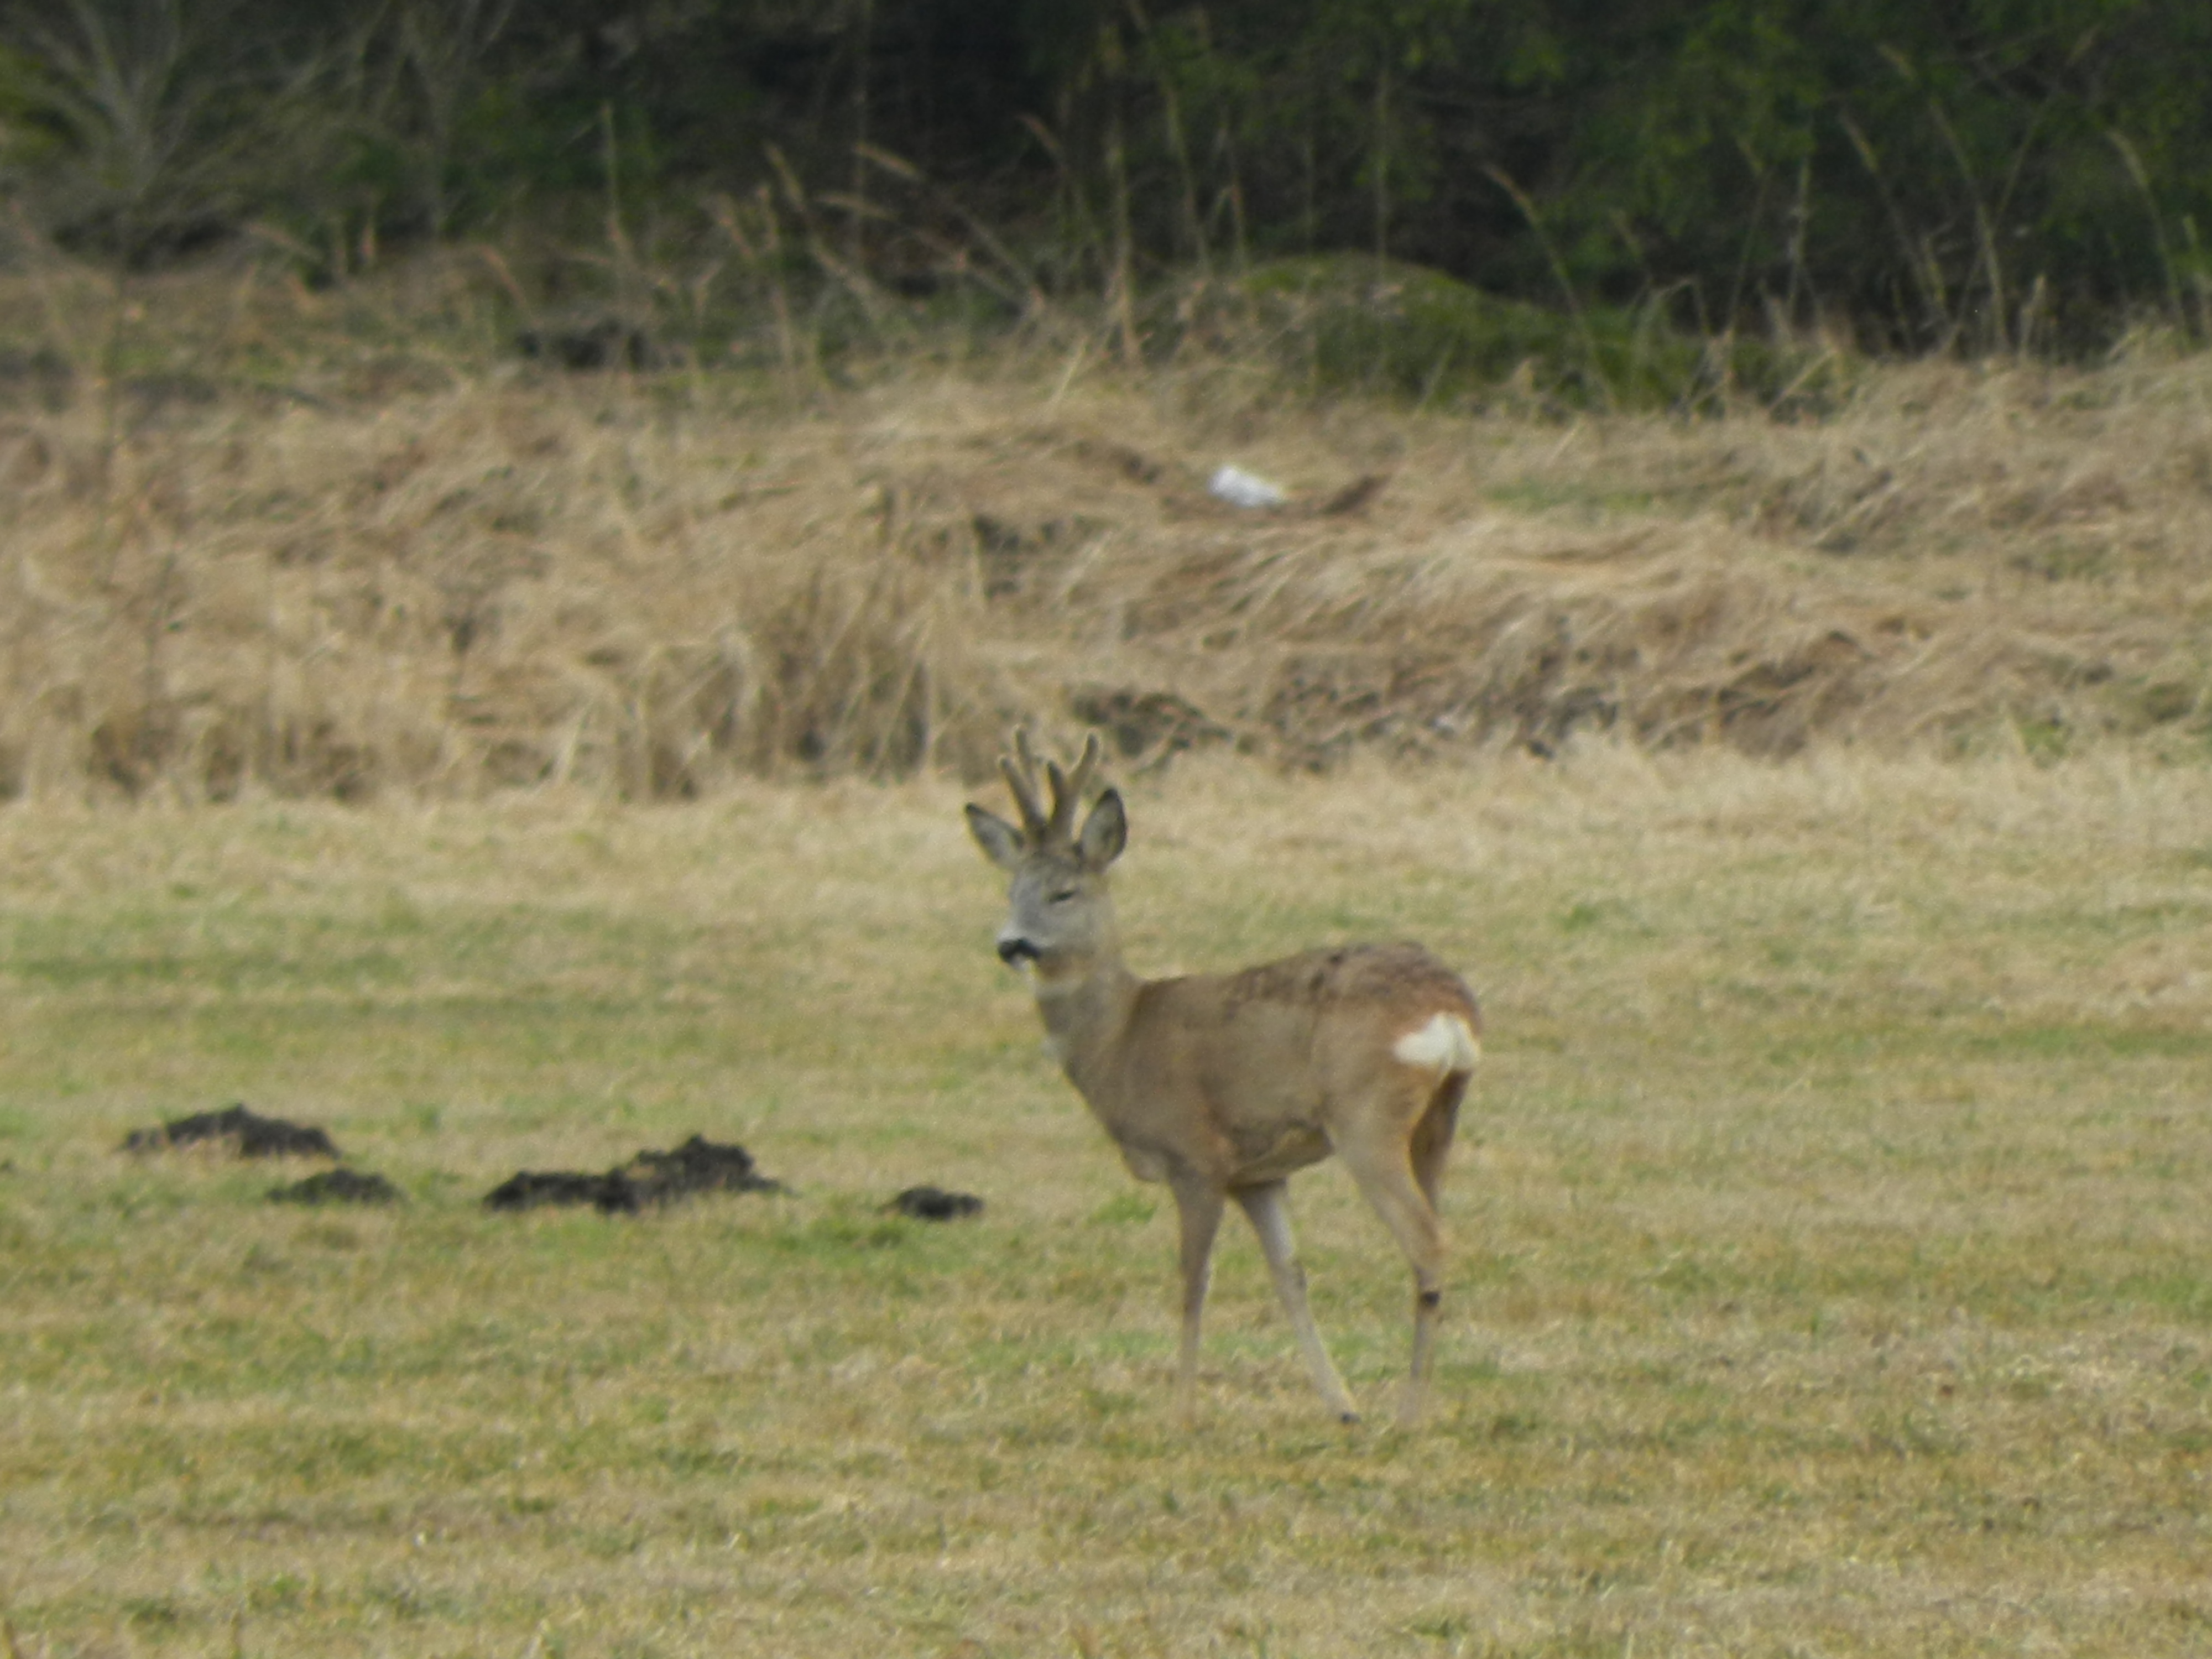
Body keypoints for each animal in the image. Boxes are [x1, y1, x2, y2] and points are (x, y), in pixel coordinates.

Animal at [969, 730, 1486, 1433]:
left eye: (1064, 893)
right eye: (1011, 891)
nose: (1012, 945)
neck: (1123, 1038)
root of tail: (1449, 1009)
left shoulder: (1196, 1157)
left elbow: (1193, 1281)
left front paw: (1181, 1414)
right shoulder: (1257, 1176)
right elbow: (1291, 1277)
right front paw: (1342, 1407)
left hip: (1366, 1117)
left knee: (1429, 1242)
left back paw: (1407, 1418)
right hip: (1440, 1118)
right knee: (1432, 1237)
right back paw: (1412, 1406)